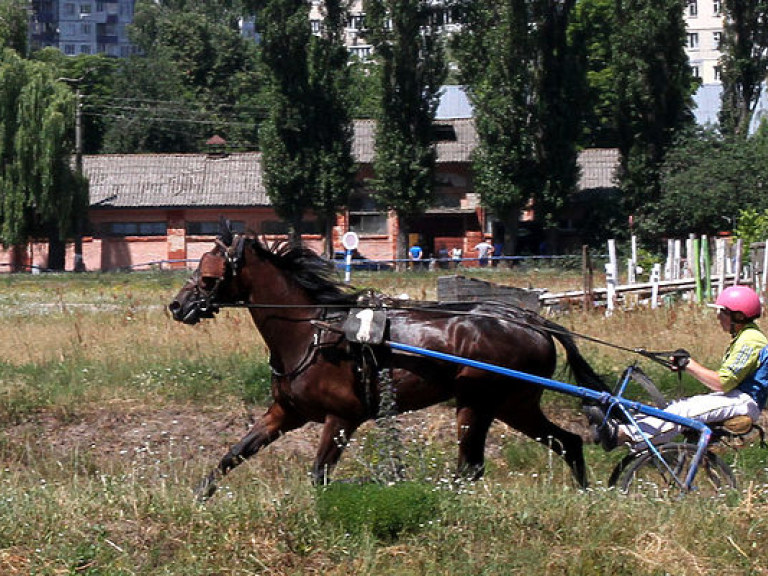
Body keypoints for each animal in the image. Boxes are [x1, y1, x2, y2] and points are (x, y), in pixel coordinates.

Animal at [171, 222, 608, 500]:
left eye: (209, 275)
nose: (178, 305)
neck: (312, 332)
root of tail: (531, 321)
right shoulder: (284, 413)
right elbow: (233, 454)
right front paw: (199, 498)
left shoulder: (341, 418)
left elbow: (319, 474)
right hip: (514, 404)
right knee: (566, 443)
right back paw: (586, 495)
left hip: (479, 402)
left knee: (471, 466)